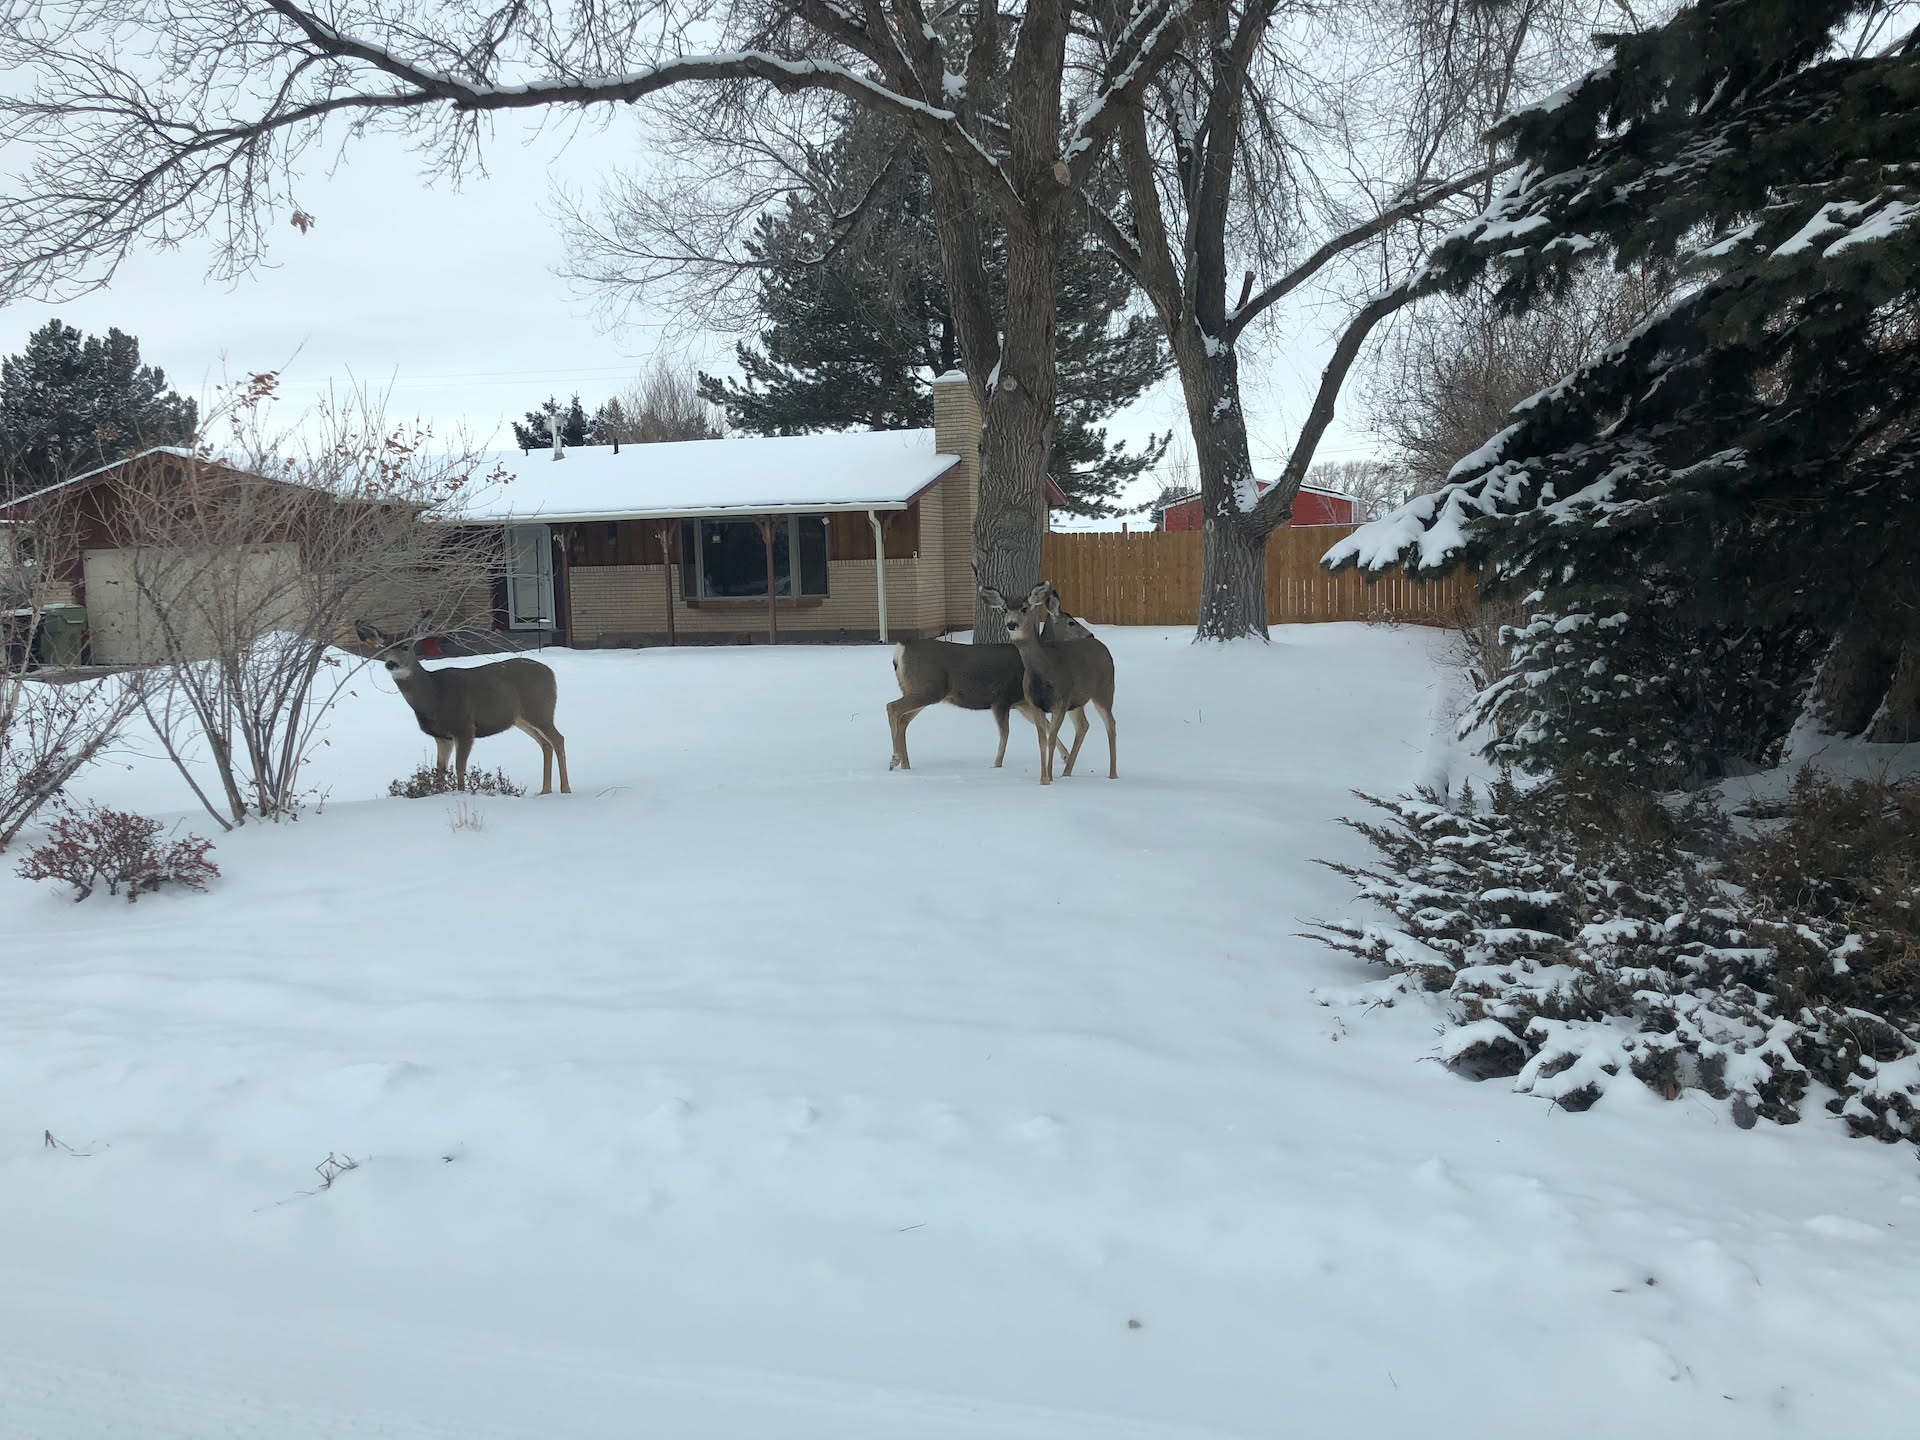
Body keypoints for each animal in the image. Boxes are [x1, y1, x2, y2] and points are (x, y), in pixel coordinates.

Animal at [354, 621, 571, 795]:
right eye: (384, 648)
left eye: (406, 647)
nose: (390, 663)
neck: (434, 695)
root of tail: (551, 674)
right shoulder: (442, 736)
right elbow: (440, 769)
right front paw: (440, 794)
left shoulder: (464, 727)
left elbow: (459, 767)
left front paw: (461, 794)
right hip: (521, 718)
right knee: (545, 744)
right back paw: (545, 791)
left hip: (540, 710)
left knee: (558, 739)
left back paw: (565, 789)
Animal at [887, 607, 1093, 772]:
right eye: (1071, 622)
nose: (1090, 636)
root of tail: (900, 649)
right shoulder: (1002, 699)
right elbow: (1005, 734)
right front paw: (996, 766)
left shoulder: (1022, 703)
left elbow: (1046, 725)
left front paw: (1065, 755)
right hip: (928, 689)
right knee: (892, 708)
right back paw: (895, 759)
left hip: (919, 689)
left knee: (903, 720)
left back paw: (905, 765)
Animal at [978, 582, 1116, 785]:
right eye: (1004, 610)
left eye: (1024, 608)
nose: (1011, 624)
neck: (1044, 671)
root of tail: (1103, 647)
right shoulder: (1034, 703)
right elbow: (1042, 740)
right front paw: (1044, 778)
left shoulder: (1060, 701)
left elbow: (1051, 738)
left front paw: (1048, 778)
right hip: (1077, 701)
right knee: (1083, 725)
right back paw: (1066, 773)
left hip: (1104, 690)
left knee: (1110, 724)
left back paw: (1112, 775)